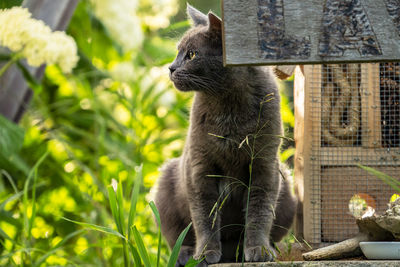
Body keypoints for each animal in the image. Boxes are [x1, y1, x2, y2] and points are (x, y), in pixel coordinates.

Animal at [155, 4, 298, 267]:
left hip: (287, 188)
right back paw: (186, 254)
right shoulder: (199, 167)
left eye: (192, 55)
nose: (170, 68)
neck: (228, 105)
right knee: (177, 237)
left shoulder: (264, 165)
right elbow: (205, 217)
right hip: (165, 188)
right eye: (178, 53)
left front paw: (259, 250)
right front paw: (205, 254)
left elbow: (259, 212)